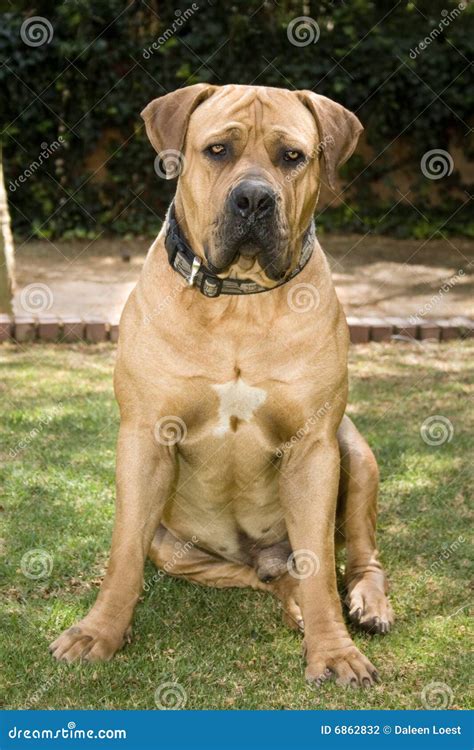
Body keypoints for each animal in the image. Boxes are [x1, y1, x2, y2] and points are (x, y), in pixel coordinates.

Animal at [50, 85, 394, 692]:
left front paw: (334, 653)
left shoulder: (313, 449)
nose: (253, 199)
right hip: (172, 544)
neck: (239, 298)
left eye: (292, 157)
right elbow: (122, 556)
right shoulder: (144, 439)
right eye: (217, 150)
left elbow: (320, 568)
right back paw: (290, 599)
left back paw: (367, 601)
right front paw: (99, 633)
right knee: (260, 576)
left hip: (353, 449)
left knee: (354, 552)